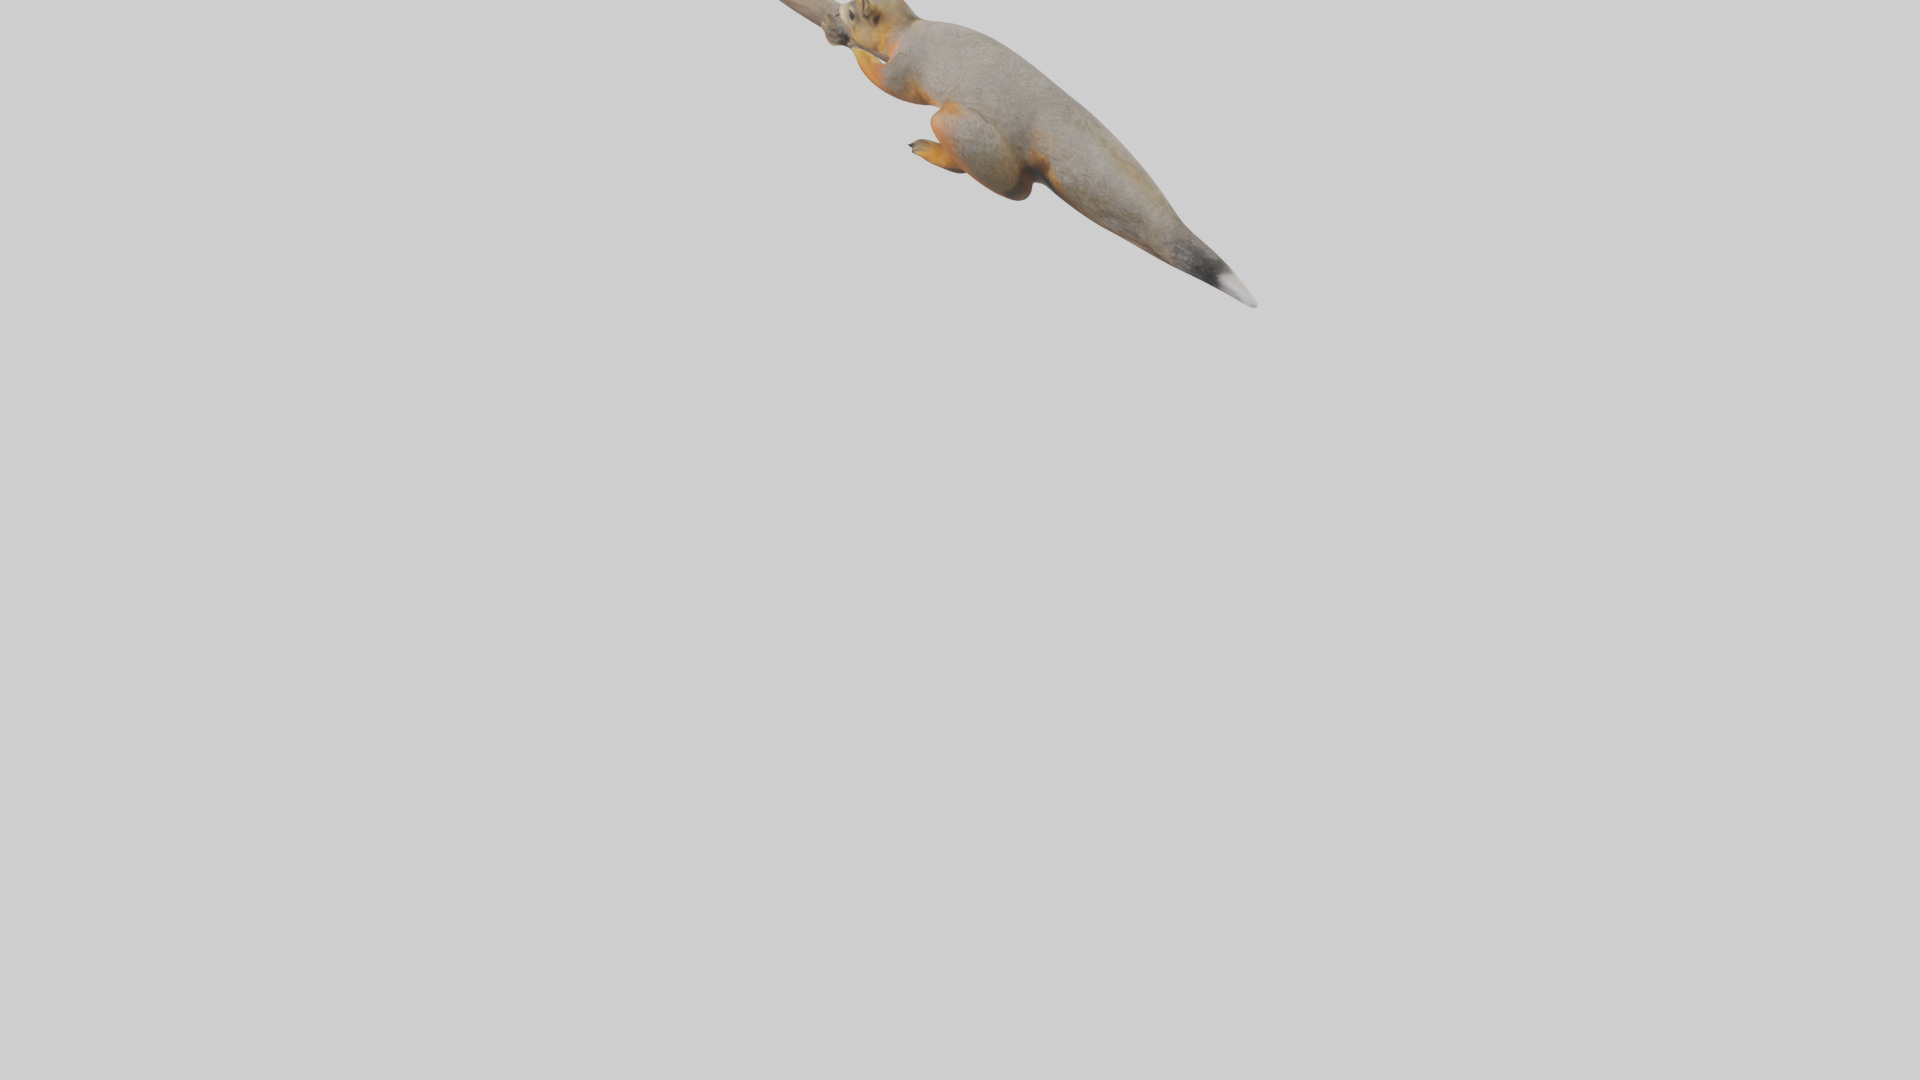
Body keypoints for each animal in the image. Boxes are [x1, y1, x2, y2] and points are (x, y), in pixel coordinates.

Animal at [820, 0, 1257, 307]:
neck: (909, 26)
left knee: (1015, 185)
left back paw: (935, 151)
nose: (834, 14)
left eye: (849, 12)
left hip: (957, 125)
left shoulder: (907, 62)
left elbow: (888, 82)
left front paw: (847, 44)